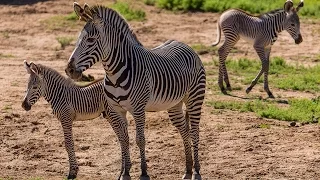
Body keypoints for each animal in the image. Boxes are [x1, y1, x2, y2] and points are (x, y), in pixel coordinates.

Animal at [64, 2, 206, 180]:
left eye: (90, 40)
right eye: (77, 39)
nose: (69, 70)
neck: (114, 74)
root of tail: (185, 45)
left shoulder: (138, 109)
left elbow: (140, 140)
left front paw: (144, 173)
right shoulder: (116, 110)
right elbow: (124, 140)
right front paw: (125, 174)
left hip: (194, 98)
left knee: (195, 132)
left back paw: (196, 171)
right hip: (174, 104)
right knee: (185, 132)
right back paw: (187, 170)